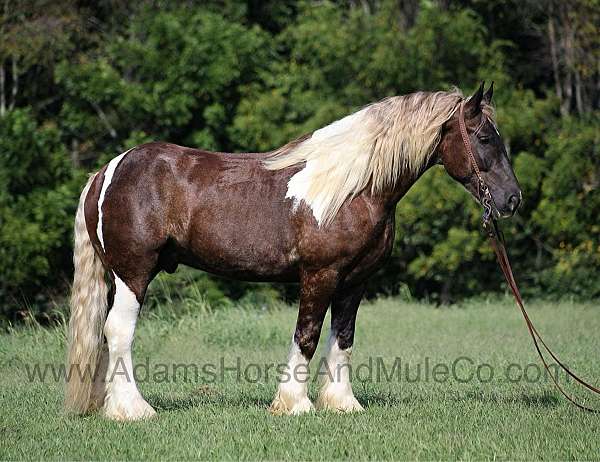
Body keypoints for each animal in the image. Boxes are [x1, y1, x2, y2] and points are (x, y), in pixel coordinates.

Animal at [63, 81, 516, 420]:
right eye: (484, 137)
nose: (513, 199)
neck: (354, 188)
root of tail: (107, 171)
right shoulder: (319, 275)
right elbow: (308, 335)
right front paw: (294, 404)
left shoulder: (355, 281)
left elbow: (343, 337)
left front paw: (342, 403)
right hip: (133, 274)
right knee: (119, 331)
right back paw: (134, 410)